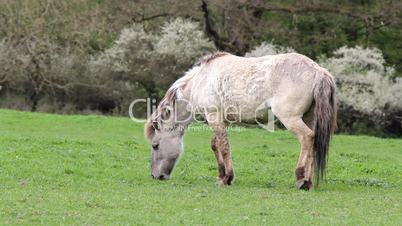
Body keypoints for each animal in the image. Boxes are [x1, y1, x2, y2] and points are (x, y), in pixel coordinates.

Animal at [144, 51, 336, 189]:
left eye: (155, 145)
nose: (155, 176)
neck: (200, 81)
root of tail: (319, 72)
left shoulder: (214, 117)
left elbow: (224, 147)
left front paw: (227, 178)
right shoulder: (223, 121)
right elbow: (216, 145)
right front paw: (221, 175)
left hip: (291, 119)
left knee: (307, 138)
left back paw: (301, 178)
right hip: (309, 117)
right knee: (313, 141)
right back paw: (308, 180)